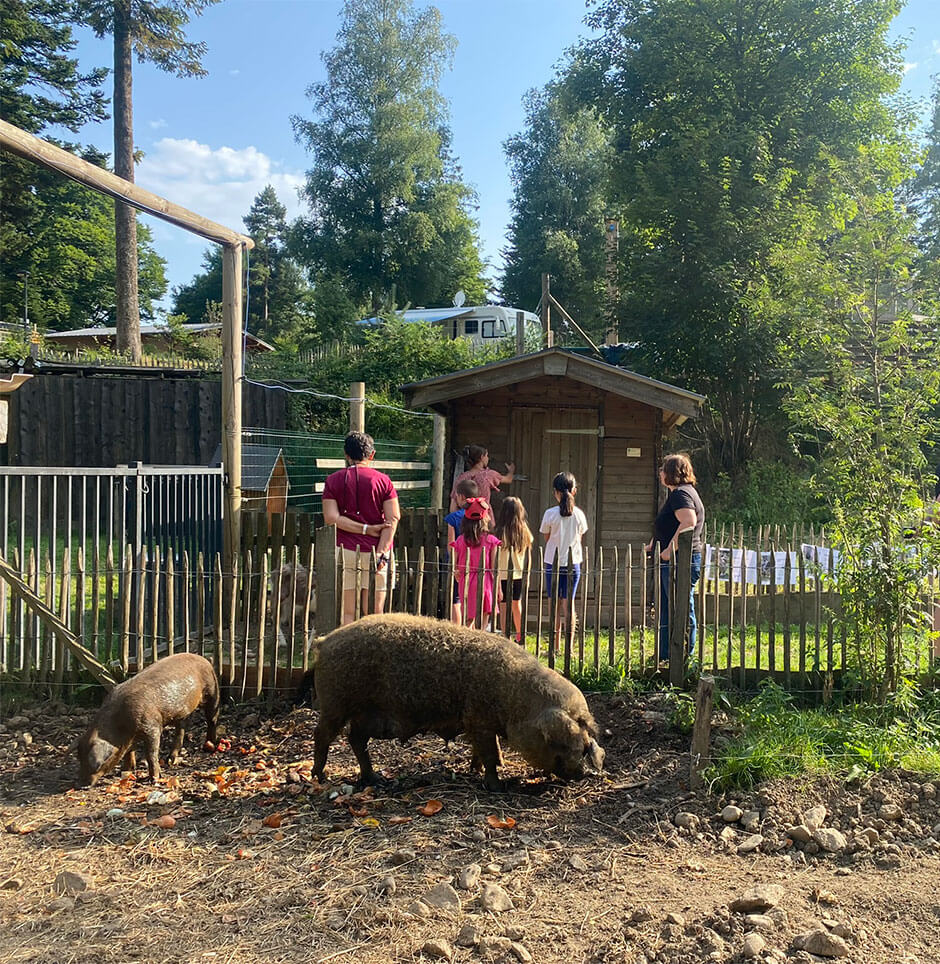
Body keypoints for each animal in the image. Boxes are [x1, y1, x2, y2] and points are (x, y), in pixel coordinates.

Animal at [77, 652, 220, 788]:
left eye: (97, 764)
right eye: (80, 759)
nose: (82, 785)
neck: (121, 725)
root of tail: (204, 659)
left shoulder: (152, 727)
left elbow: (151, 753)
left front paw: (154, 779)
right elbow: (129, 752)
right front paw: (125, 771)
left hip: (212, 690)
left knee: (212, 718)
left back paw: (210, 745)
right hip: (182, 712)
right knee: (182, 728)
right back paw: (170, 760)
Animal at [312, 612, 604, 788]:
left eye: (585, 737)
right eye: (562, 742)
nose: (585, 773)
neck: (515, 701)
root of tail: (325, 640)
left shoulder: (477, 723)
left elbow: (487, 751)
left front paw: (478, 770)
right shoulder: (479, 720)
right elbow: (489, 752)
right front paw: (496, 786)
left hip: (367, 716)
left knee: (355, 738)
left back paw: (374, 780)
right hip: (336, 702)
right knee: (323, 734)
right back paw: (320, 776)